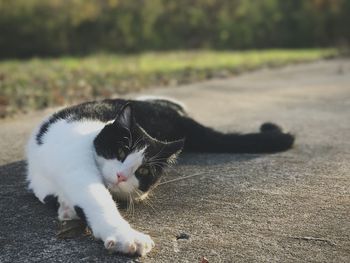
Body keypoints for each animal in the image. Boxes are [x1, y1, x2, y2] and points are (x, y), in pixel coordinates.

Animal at [25, 97, 296, 256]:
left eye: (144, 171)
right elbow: (96, 199)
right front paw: (124, 236)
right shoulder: (76, 167)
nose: (122, 176)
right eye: (121, 151)